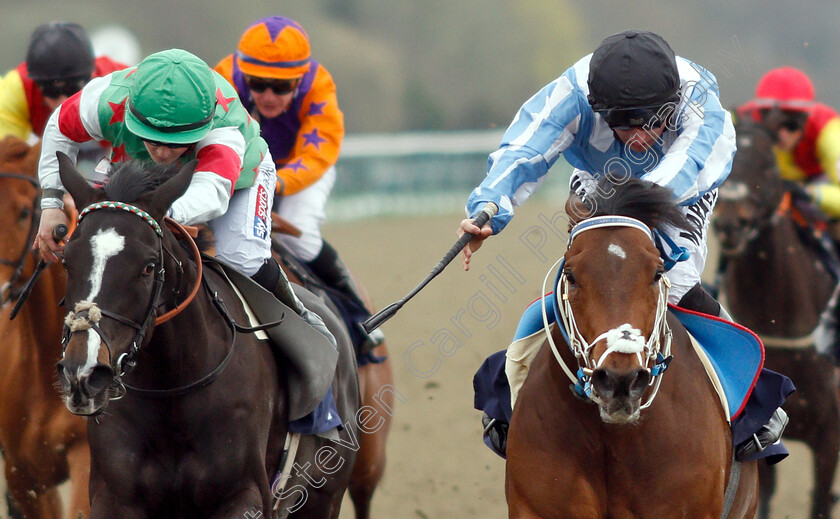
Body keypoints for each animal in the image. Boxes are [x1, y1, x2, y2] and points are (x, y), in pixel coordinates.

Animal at [53, 155, 358, 519]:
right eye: (67, 262)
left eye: (148, 266)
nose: (83, 373)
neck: (171, 393)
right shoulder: (114, 497)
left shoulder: (243, 494)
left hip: (324, 495)